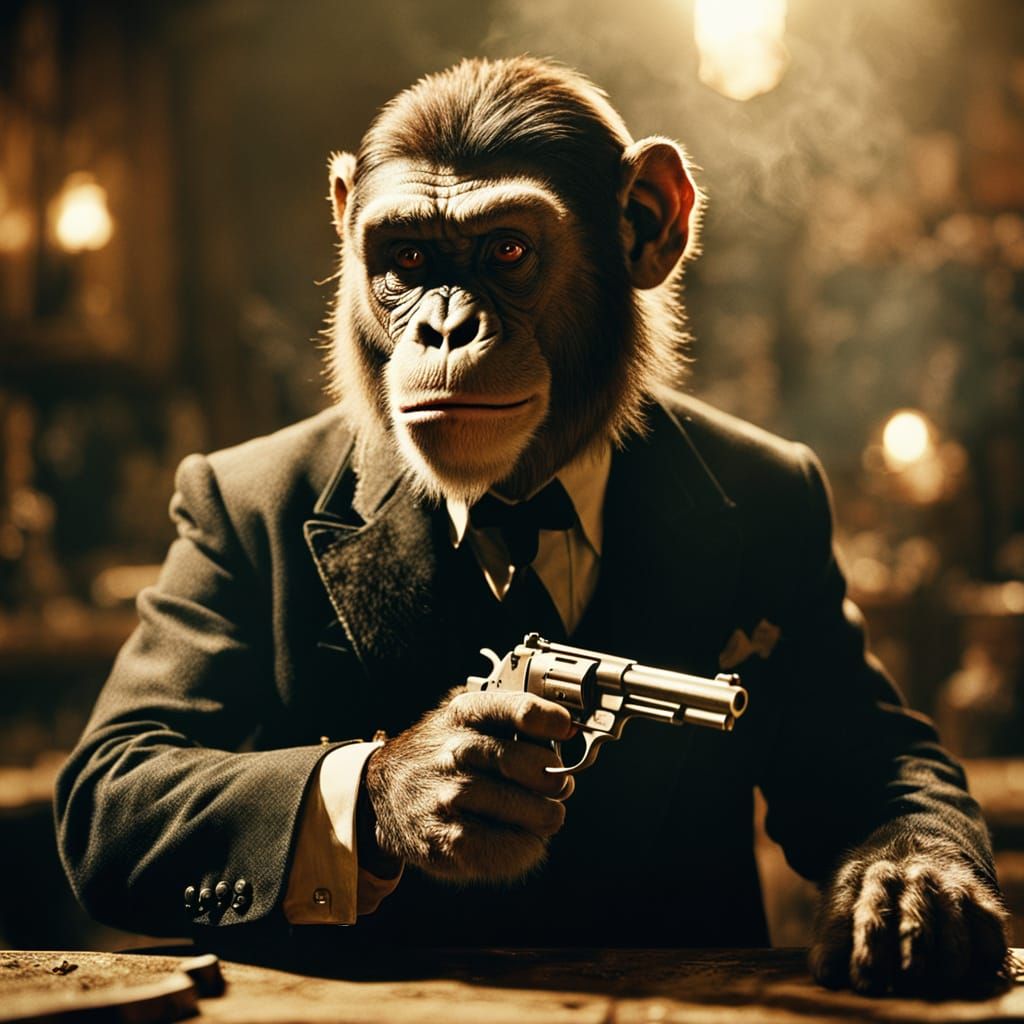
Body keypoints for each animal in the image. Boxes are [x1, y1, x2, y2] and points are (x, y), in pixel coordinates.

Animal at [56, 57, 1008, 997]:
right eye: (406, 259)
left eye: (507, 250)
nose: (445, 327)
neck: (520, 503)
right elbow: (124, 756)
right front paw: (422, 785)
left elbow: (880, 752)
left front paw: (910, 891)